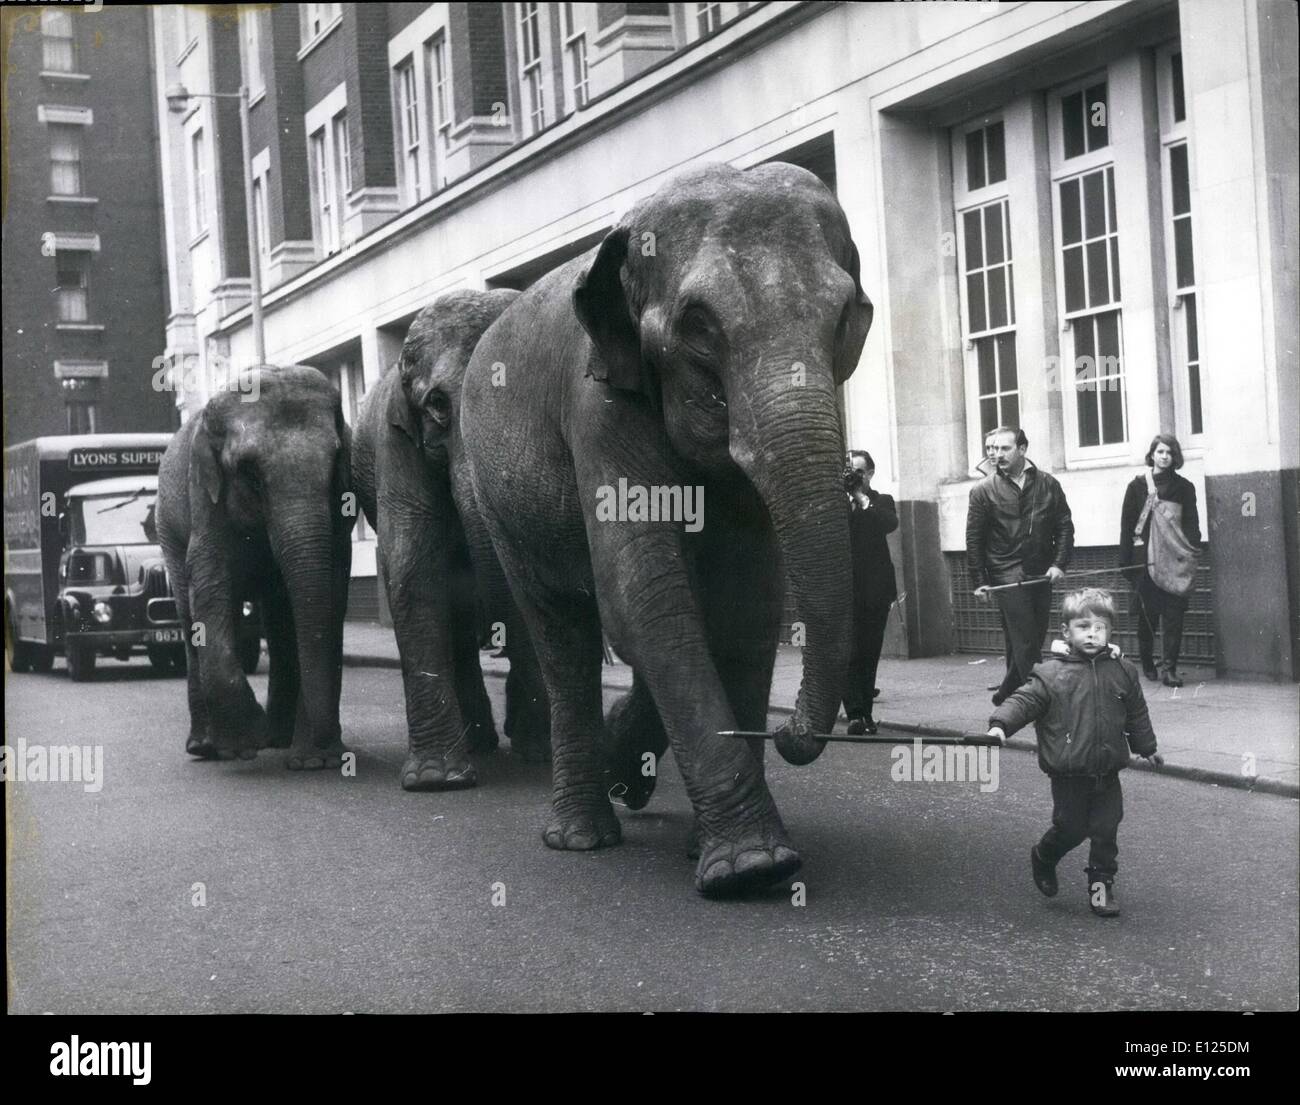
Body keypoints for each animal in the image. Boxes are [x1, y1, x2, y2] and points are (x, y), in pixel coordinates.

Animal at [157, 366, 356, 764]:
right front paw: (244, 744)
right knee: (190, 617)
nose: (327, 745)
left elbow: (331, 590)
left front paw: (315, 761)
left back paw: (278, 740)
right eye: (249, 472)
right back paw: (209, 747)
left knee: (279, 621)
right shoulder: (205, 498)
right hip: (167, 530)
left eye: (334, 463)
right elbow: (209, 582)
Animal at [351, 284, 548, 785]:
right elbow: (413, 572)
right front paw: (436, 780)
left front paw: (541, 750)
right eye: (438, 405)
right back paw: (480, 745)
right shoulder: (396, 444)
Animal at [457, 161, 873, 894]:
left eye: (846, 315)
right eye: (699, 326)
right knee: (564, 634)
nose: (789, 735)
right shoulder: (596, 408)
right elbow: (644, 595)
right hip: (497, 501)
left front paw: (726, 854)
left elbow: (746, 606)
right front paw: (752, 868)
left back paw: (626, 771)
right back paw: (580, 835)